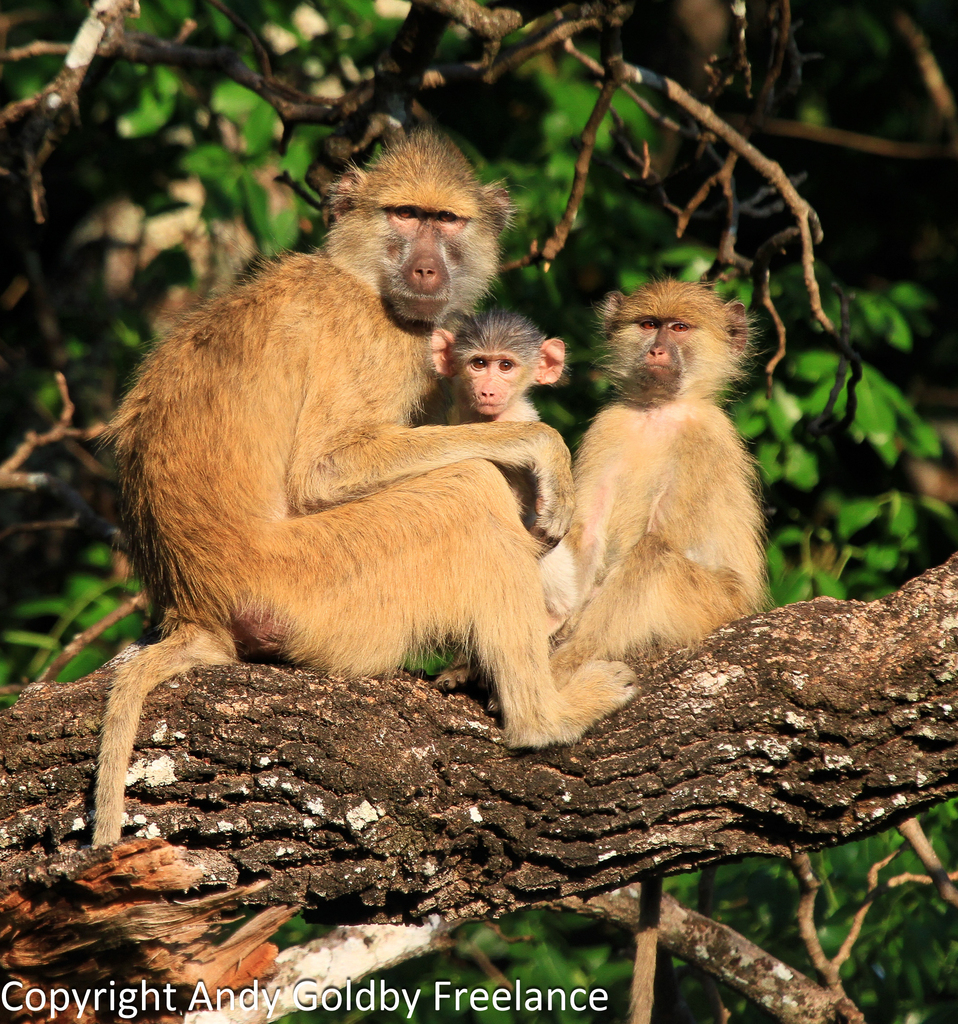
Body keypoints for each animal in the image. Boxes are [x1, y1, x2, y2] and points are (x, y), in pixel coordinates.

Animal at [94, 130, 636, 847]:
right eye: (404, 215)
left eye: (446, 220)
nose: (428, 273)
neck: (357, 275)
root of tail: (194, 605)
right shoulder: (368, 337)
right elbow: (323, 471)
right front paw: (543, 452)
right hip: (312, 589)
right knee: (469, 492)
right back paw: (544, 718)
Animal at [550, 278, 766, 677]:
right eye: (649, 324)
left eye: (679, 327)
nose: (657, 351)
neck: (657, 411)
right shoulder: (607, 426)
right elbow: (586, 533)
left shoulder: (703, 438)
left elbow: (660, 538)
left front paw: (568, 656)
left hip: (717, 604)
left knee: (654, 555)